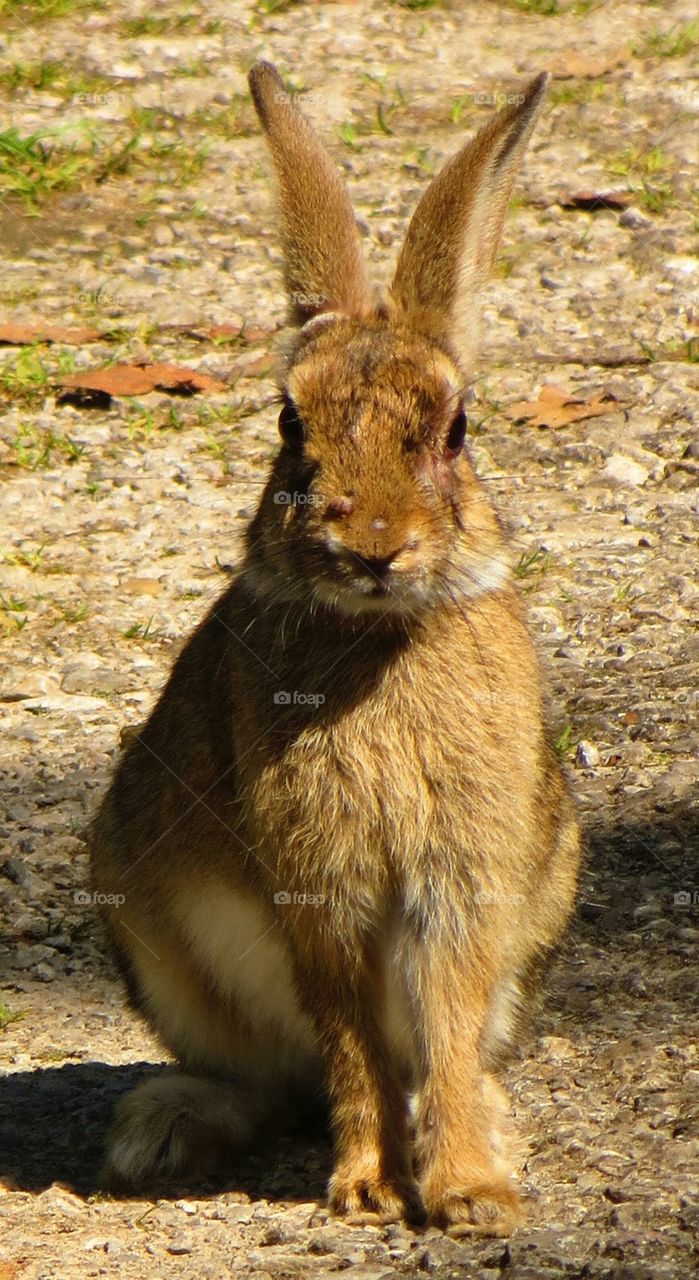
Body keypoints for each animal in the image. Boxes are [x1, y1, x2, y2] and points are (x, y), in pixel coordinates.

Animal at [89, 62, 578, 1239]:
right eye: (287, 428)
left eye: (455, 430)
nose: (372, 546)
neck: (373, 635)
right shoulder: (318, 883)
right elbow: (350, 1041)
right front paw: (366, 1188)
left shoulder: (460, 877)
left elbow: (443, 1018)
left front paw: (469, 1191)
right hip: (151, 927)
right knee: (272, 1080)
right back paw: (162, 1129)